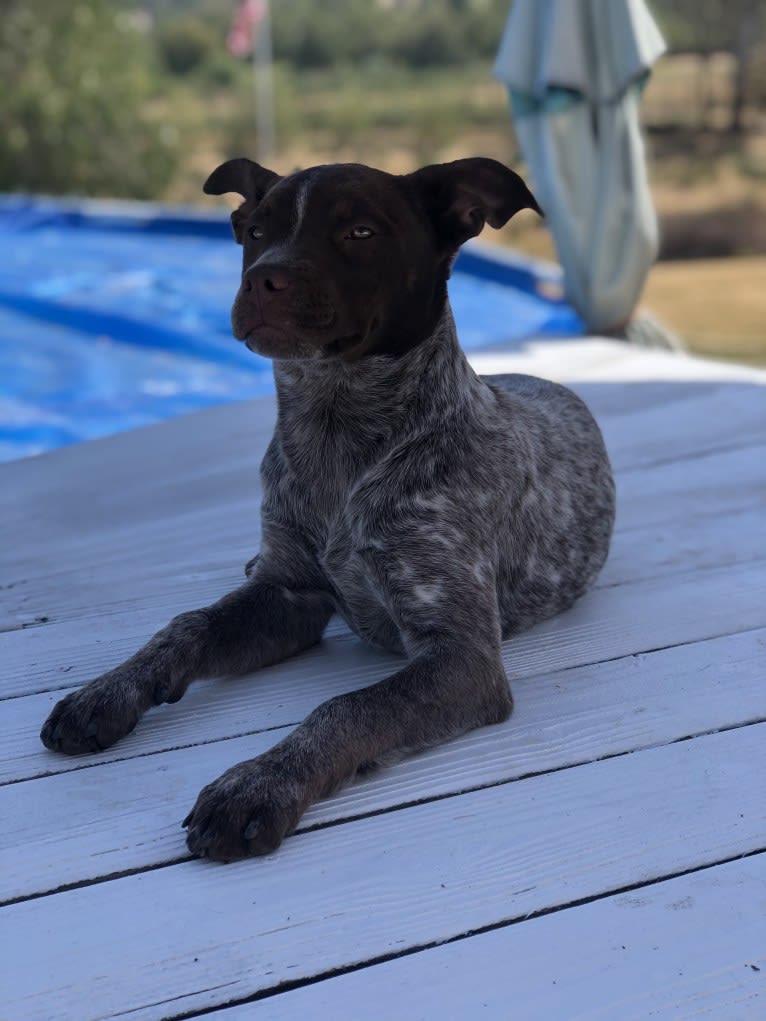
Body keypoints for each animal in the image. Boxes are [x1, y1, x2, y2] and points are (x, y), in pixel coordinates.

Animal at [40, 157, 616, 861]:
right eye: (255, 232)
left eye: (360, 231)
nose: (263, 280)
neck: (335, 432)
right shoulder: (290, 595)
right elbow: (186, 626)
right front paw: (106, 691)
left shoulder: (463, 657)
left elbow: (346, 708)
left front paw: (257, 783)